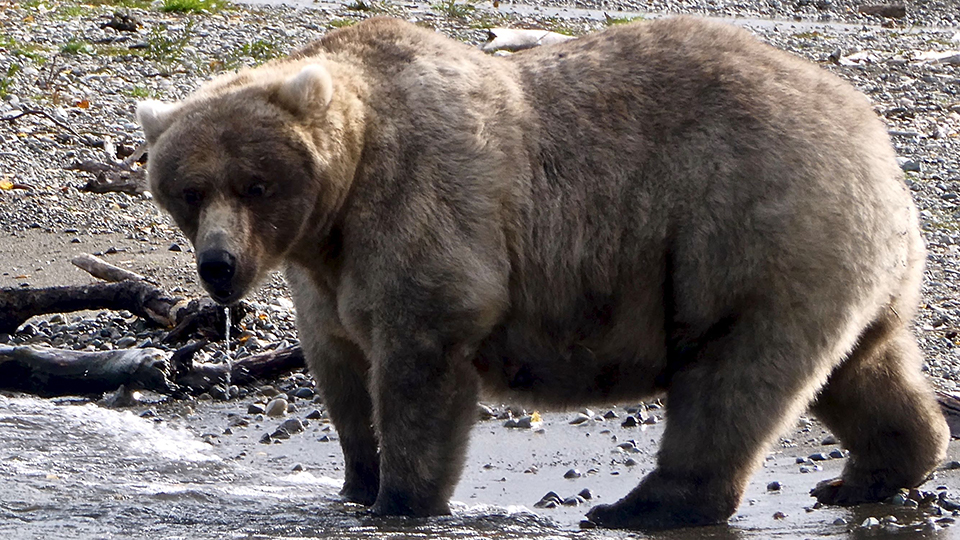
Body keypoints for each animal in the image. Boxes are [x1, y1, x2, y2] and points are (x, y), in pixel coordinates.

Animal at [136, 16, 949, 530]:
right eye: (188, 190)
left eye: (255, 184)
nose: (219, 265)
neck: (337, 204)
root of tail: (875, 139)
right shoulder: (325, 274)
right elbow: (340, 366)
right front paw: (355, 483)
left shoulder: (422, 205)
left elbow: (420, 351)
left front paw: (401, 498)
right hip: (841, 259)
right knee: (864, 365)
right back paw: (871, 471)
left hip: (744, 230)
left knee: (731, 378)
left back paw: (641, 506)